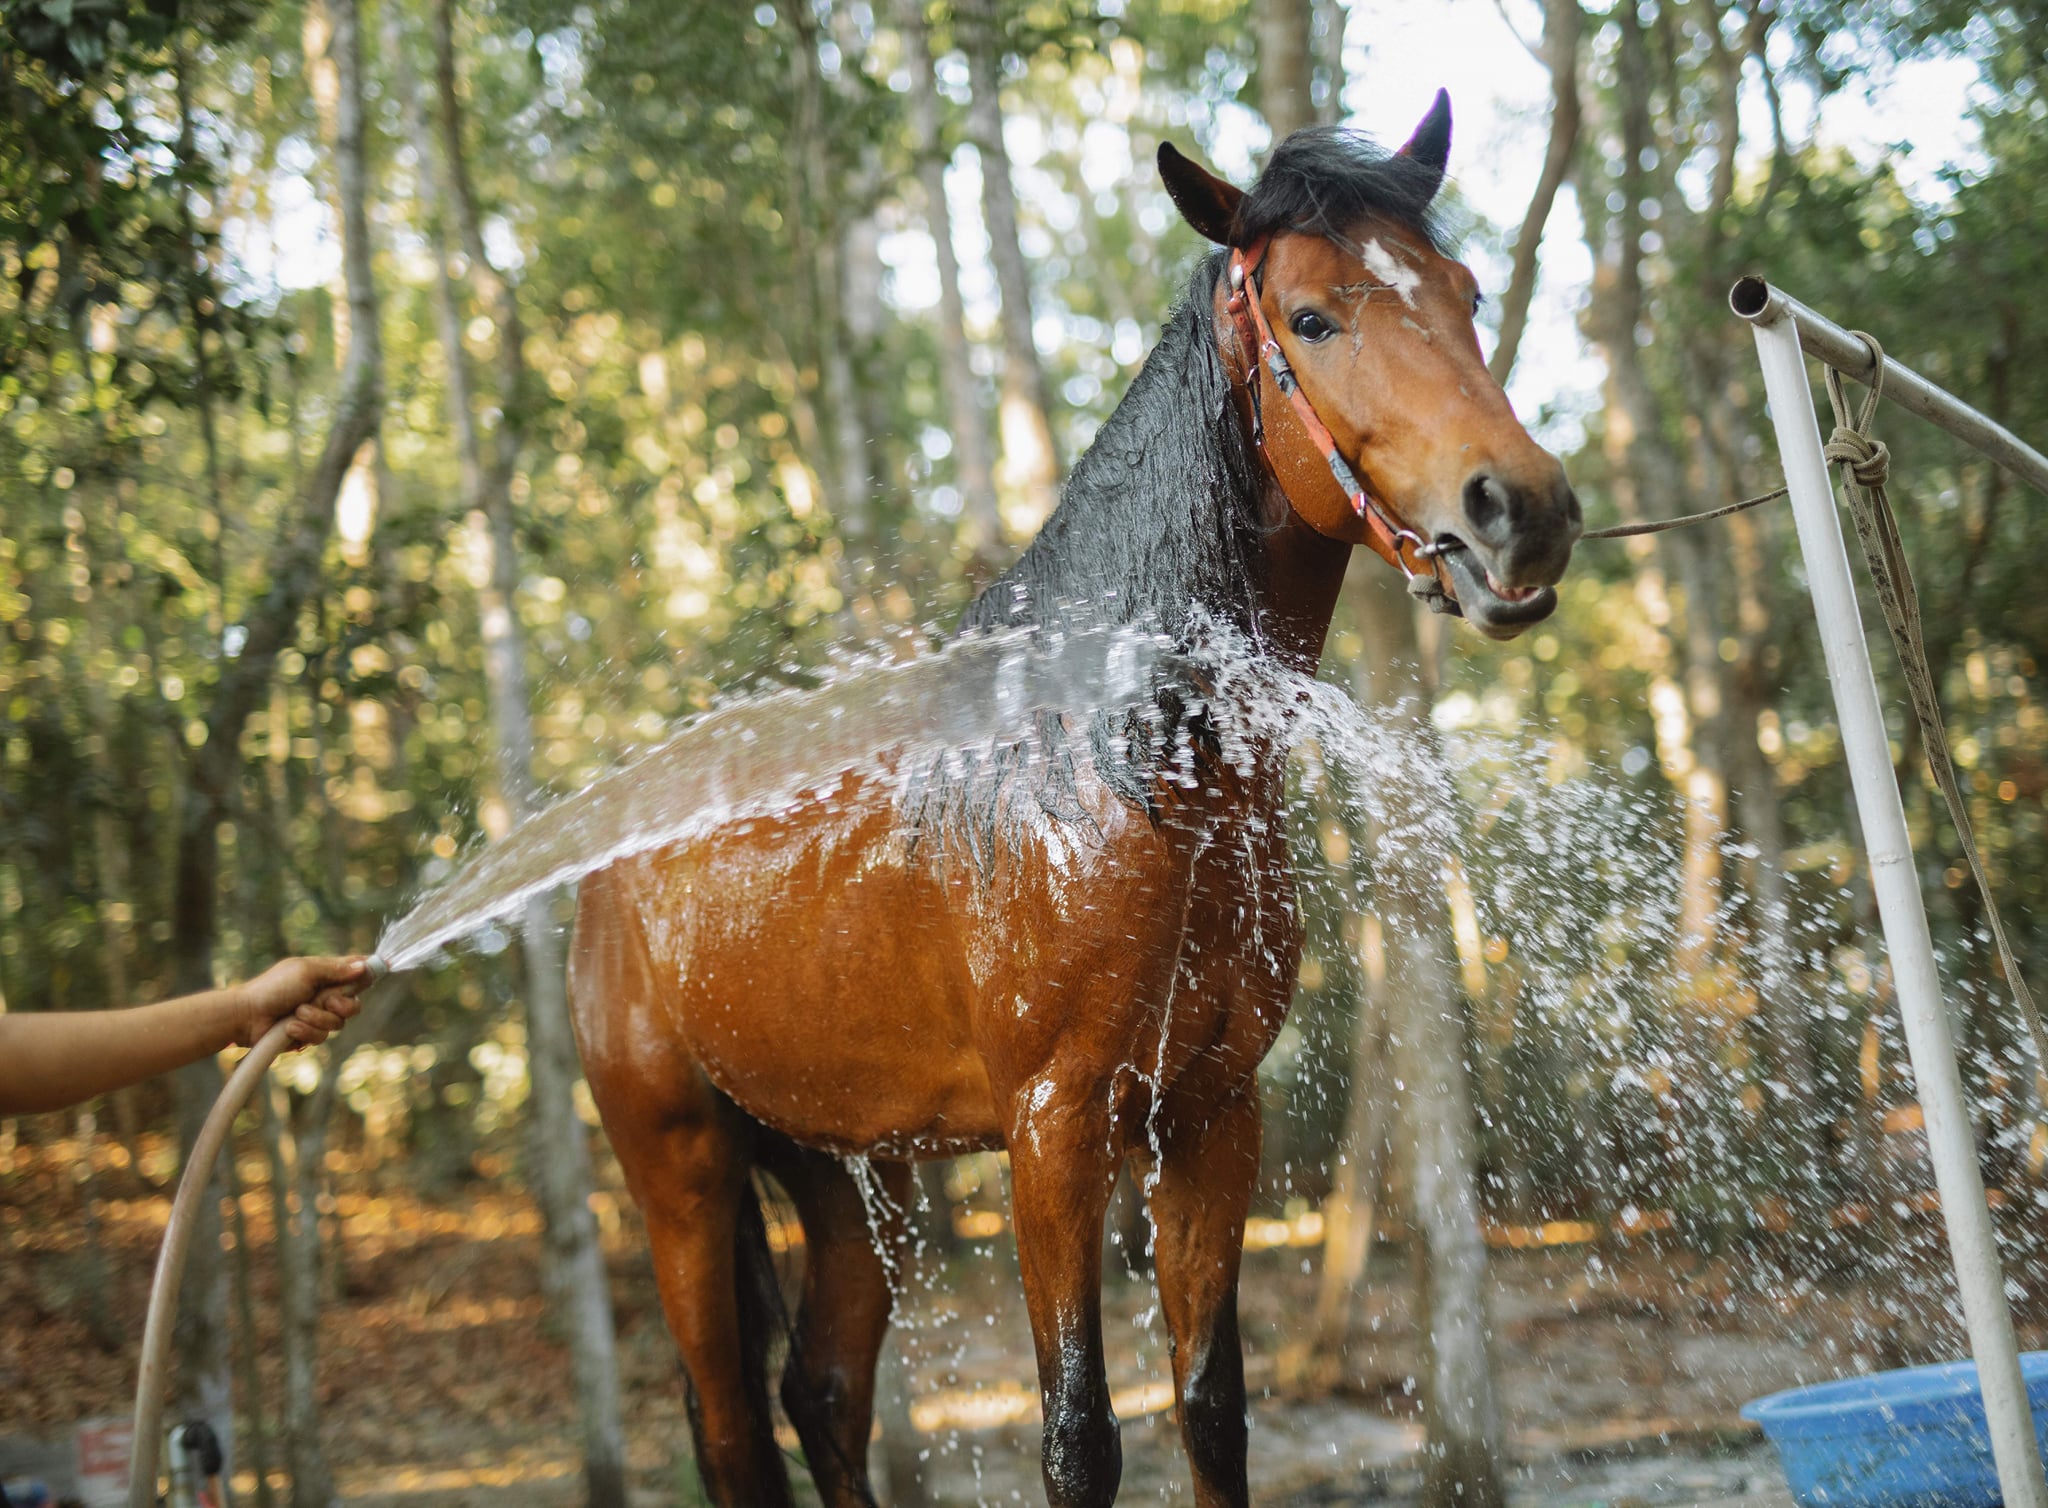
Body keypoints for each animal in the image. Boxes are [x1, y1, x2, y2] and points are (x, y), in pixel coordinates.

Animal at [569, 97, 1572, 1508]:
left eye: (1467, 294)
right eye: (1312, 317)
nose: (1518, 510)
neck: (1114, 768)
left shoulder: (1208, 1112)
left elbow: (1210, 1405)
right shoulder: (1053, 1128)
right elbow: (1077, 1435)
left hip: (846, 1170)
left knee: (822, 1390)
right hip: (682, 1172)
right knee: (727, 1427)